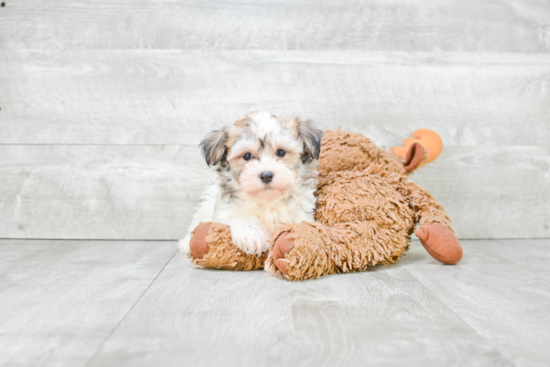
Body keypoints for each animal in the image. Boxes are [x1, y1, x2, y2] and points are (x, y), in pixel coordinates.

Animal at [179, 112, 324, 256]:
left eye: (281, 152)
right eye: (247, 156)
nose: (266, 175)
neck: (268, 200)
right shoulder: (226, 210)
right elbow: (241, 216)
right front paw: (253, 234)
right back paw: (186, 243)